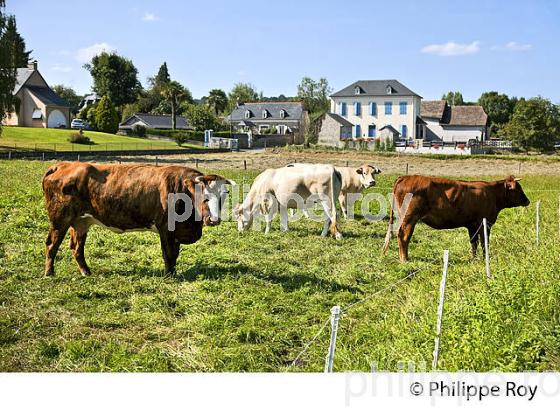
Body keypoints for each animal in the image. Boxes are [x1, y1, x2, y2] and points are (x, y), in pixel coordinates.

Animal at [42, 161, 233, 276]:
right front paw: (169, 275)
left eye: (223, 195)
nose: (214, 220)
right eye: (204, 195)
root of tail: (63, 165)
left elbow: (175, 254)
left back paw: (86, 272)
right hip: (60, 219)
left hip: (81, 221)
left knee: (77, 247)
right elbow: (168, 253)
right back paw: (49, 273)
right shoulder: (166, 228)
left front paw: (173, 272)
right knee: (52, 244)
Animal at [382, 175, 532, 262]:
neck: (492, 194)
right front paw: (485, 258)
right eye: (518, 189)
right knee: (403, 235)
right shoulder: (485, 224)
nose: (527, 200)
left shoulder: (472, 225)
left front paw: (474, 258)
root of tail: (406, 177)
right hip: (409, 218)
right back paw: (404, 259)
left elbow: (474, 243)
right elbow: (484, 242)